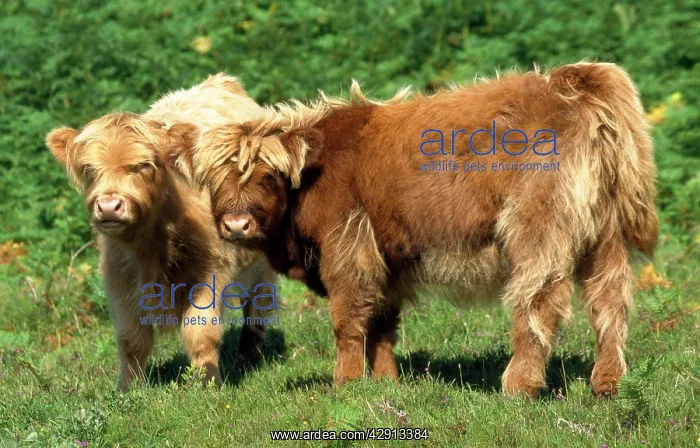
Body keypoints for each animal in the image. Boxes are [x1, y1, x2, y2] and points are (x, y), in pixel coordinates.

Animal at [46, 74, 279, 391]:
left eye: (144, 165)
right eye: (89, 169)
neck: (152, 245)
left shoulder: (209, 272)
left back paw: (249, 354)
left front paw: (209, 383)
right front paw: (128, 389)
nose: (109, 206)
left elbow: (201, 333)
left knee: (258, 303)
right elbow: (131, 340)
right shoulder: (119, 279)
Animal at [174, 62, 658, 398]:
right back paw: (607, 385)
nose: (236, 224)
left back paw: (519, 387)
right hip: (604, 235)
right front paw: (386, 383)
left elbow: (348, 320)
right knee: (609, 304)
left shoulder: (347, 248)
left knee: (539, 304)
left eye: (269, 176)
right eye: (213, 180)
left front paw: (345, 384)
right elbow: (382, 323)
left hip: (539, 229)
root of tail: (574, 79)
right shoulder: (386, 256)